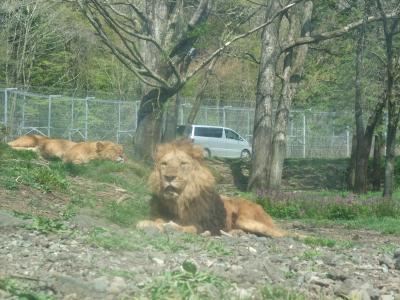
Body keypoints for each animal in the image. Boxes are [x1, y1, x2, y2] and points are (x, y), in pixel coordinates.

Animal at [138, 139, 288, 238]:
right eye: (164, 164)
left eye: (183, 163)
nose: (168, 177)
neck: (179, 201)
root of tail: (260, 206)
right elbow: (153, 221)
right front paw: (147, 224)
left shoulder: (206, 225)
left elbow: (189, 228)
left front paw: (171, 227)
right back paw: (236, 232)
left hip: (246, 220)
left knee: (283, 234)